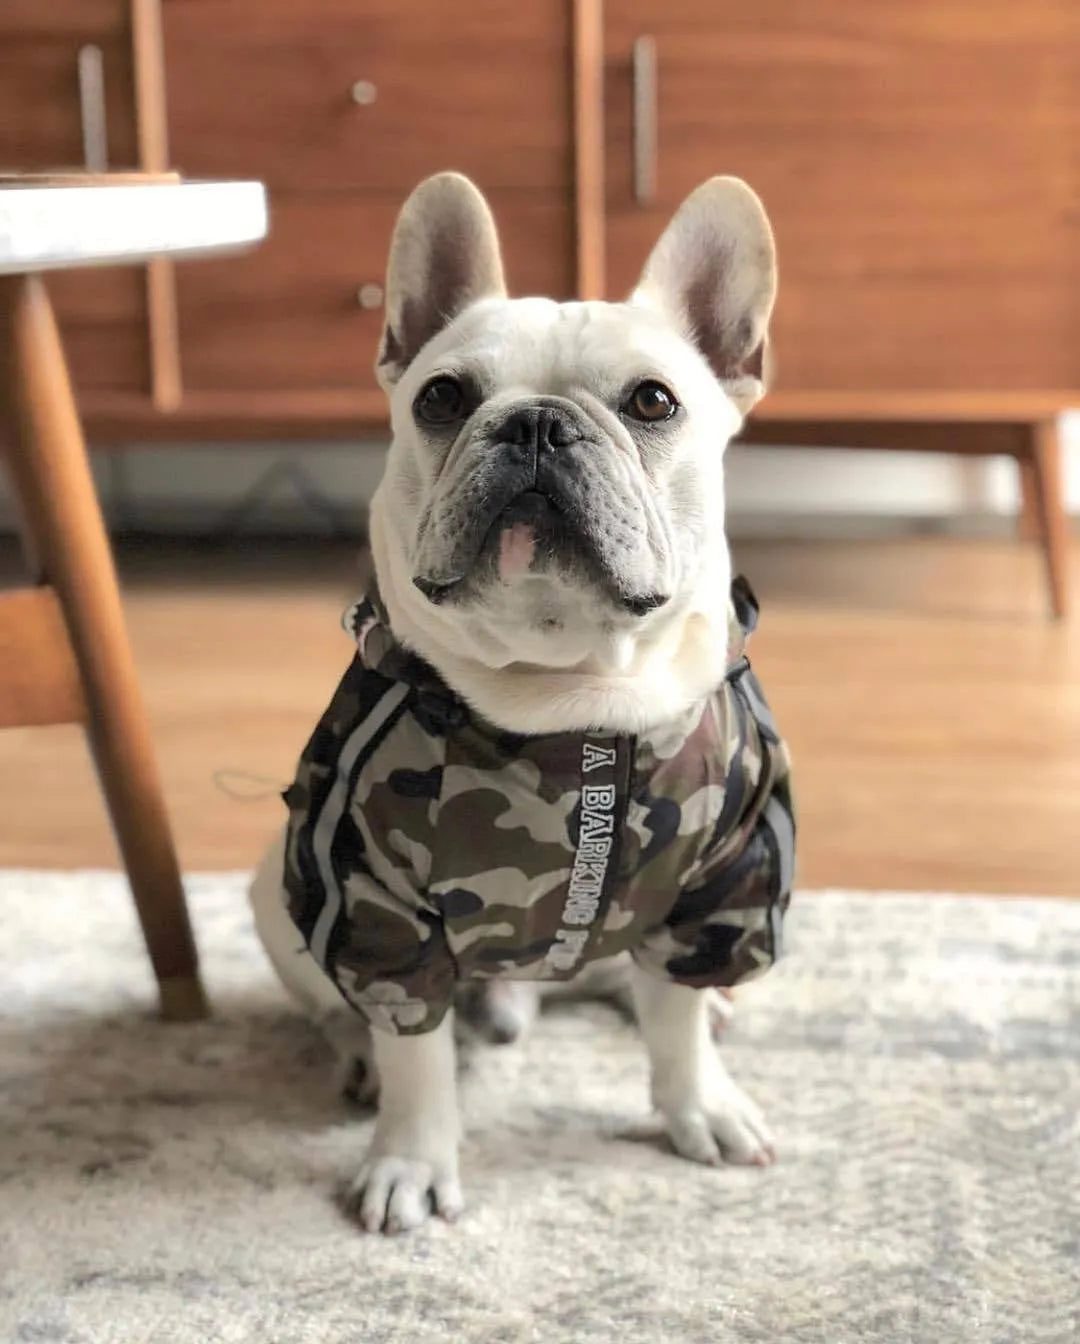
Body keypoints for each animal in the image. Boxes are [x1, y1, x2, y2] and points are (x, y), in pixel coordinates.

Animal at [251, 173, 795, 1231]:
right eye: (443, 396)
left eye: (654, 400)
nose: (536, 421)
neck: (570, 698)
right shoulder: (372, 906)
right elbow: (416, 1050)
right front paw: (410, 1161)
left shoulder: (726, 878)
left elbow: (674, 1021)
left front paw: (699, 1105)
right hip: (274, 891)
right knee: (343, 1010)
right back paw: (356, 1058)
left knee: (643, 976)